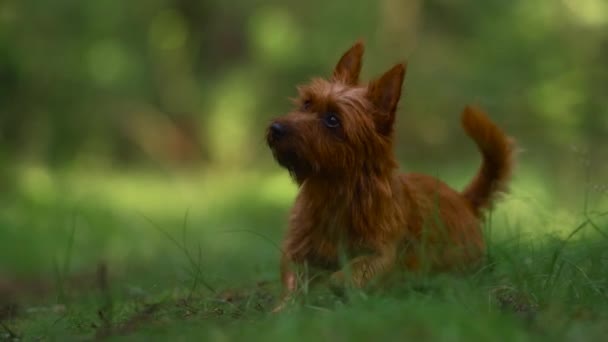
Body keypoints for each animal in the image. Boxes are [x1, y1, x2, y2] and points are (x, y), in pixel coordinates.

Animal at [264, 40, 512, 310]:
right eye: (307, 104)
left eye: (333, 120)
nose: (276, 128)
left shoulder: (381, 253)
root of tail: (463, 199)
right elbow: (293, 281)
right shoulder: (297, 250)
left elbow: (350, 272)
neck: (333, 191)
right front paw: (284, 308)